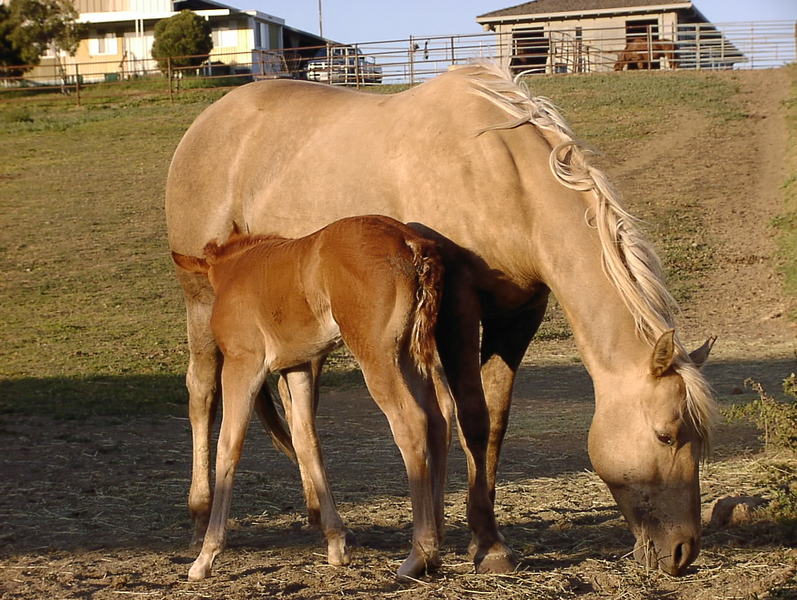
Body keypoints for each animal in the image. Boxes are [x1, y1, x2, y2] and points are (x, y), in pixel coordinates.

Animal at [171, 215, 451, 580]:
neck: (236, 270)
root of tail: (409, 242)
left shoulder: (242, 364)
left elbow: (229, 446)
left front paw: (206, 555)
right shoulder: (297, 366)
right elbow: (307, 442)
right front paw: (336, 543)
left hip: (377, 354)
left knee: (411, 423)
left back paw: (421, 551)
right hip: (409, 353)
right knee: (439, 418)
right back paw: (438, 535)